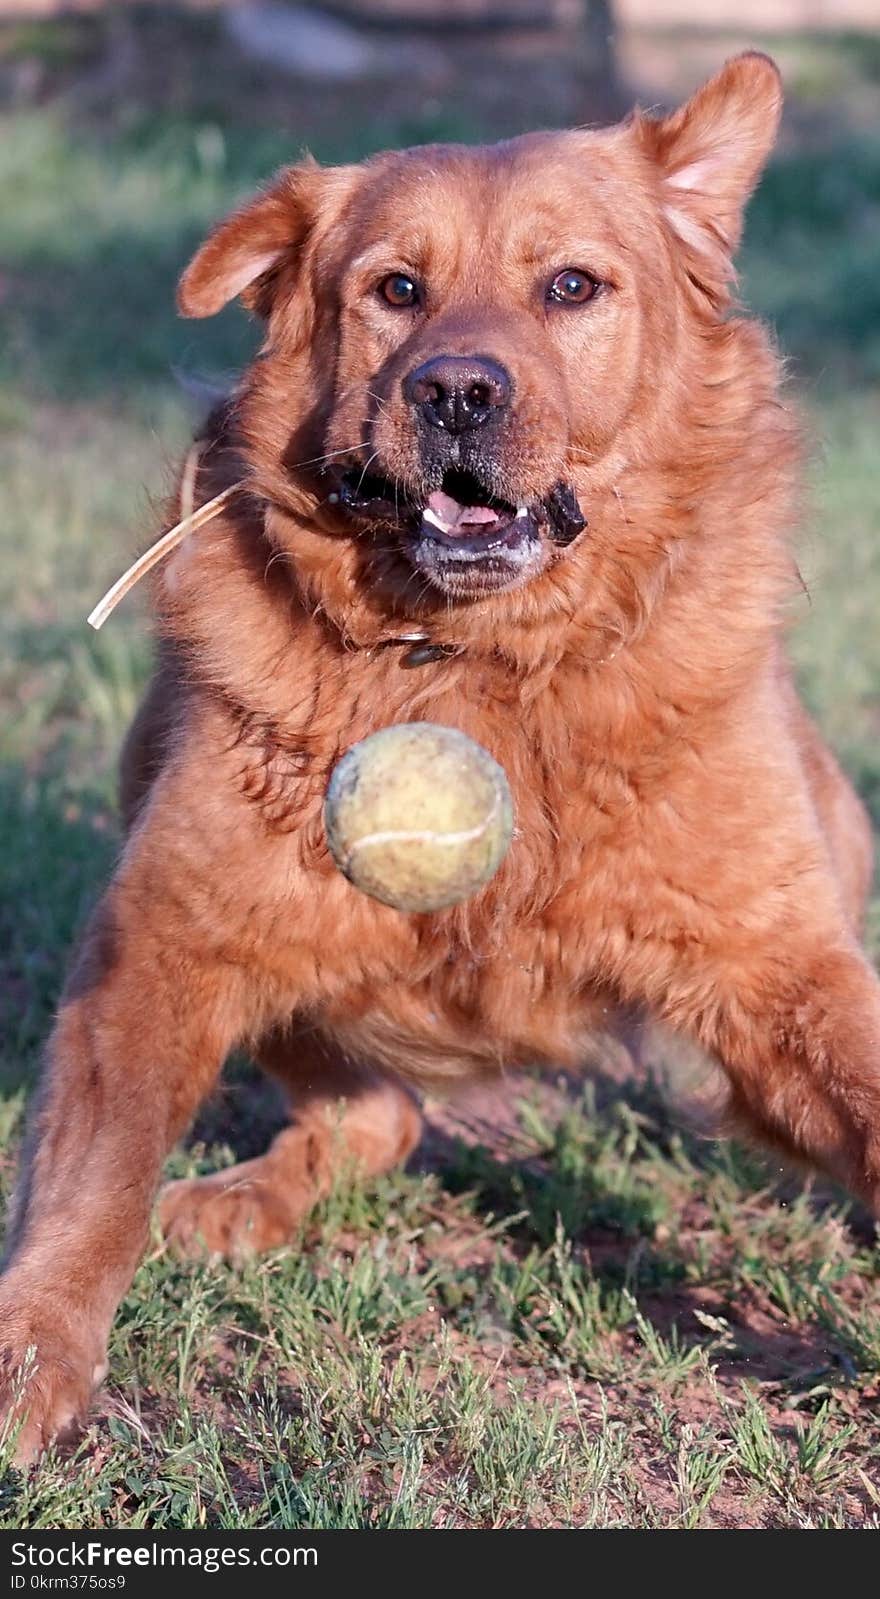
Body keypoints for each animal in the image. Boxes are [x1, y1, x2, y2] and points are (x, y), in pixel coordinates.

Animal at [3, 53, 876, 1464]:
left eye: (569, 286)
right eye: (396, 291)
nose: (457, 388)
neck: (484, 664)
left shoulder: (778, 970)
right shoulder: (157, 943)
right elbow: (96, 1180)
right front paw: (31, 1350)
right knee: (381, 1112)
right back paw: (233, 1203)